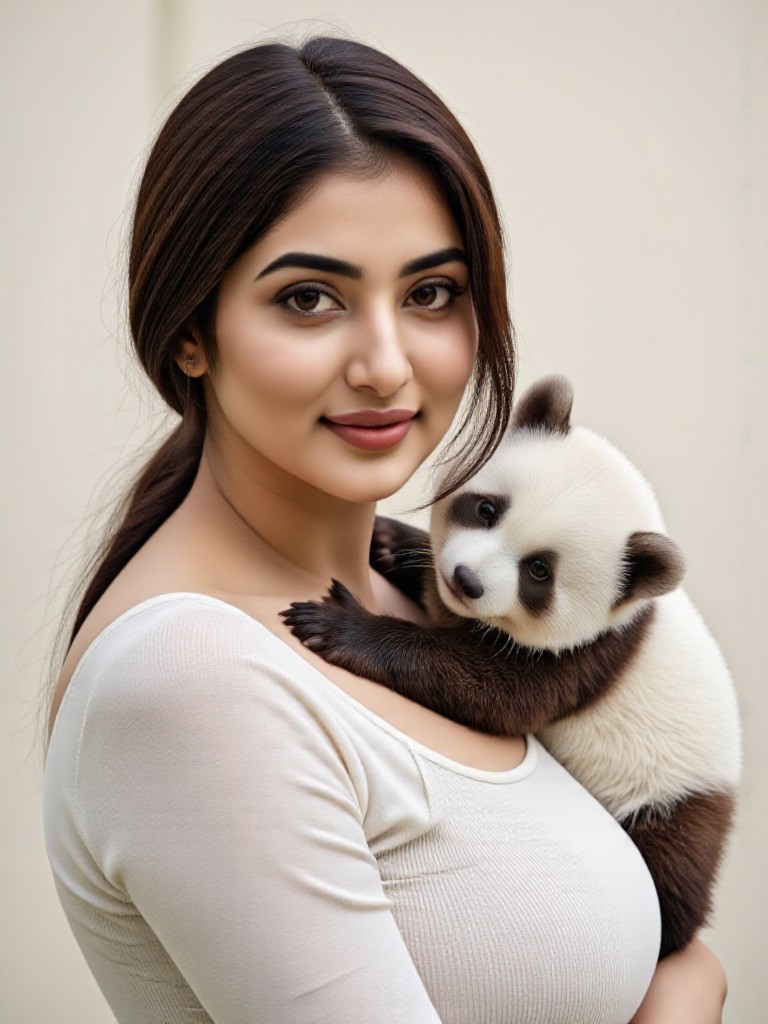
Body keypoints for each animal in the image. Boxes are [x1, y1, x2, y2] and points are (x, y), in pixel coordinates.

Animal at [282, 374, 742, 959]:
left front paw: (339, 626)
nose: (466, 580)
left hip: (670, 794)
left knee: (673, 873)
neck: (630, 610)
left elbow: (494, 690)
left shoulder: (587, 654)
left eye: (539, 571)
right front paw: (389, 543)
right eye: (487, 510)